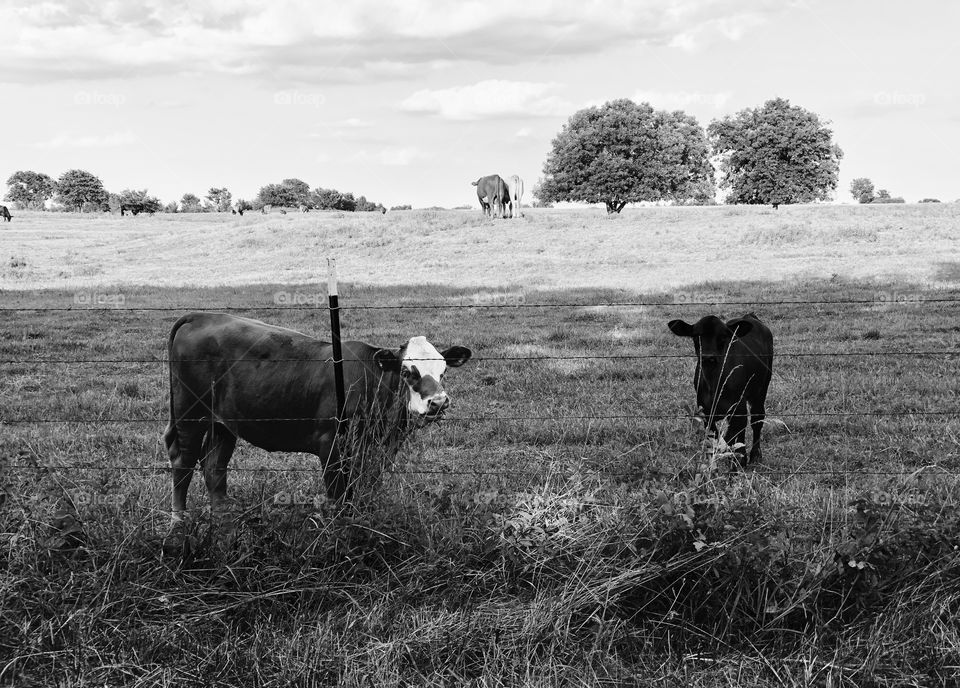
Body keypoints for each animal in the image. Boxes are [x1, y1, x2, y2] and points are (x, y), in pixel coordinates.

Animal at [164, 312, 472, 520]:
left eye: (444, 370)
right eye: (408, 371)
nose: (438, 402)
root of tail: (202, 316)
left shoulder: (379, 449)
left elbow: (369, 485)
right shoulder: (331, 445)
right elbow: (339, 494)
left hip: (223, 423)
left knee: (214, 464)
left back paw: (223, 515)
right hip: (189, 415)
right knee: (183, 461)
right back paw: (178, 521)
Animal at [672, 314, 776, 468]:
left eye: (722, 336)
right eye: (696, 336)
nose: (708, 357)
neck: (714, 385)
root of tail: (750, 316)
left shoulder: (738, 408)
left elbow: (734, 436)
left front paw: (738, 463)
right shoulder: (706, 413)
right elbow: (716, 439)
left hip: (761, 388)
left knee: (757, 419)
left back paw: (755, 455)